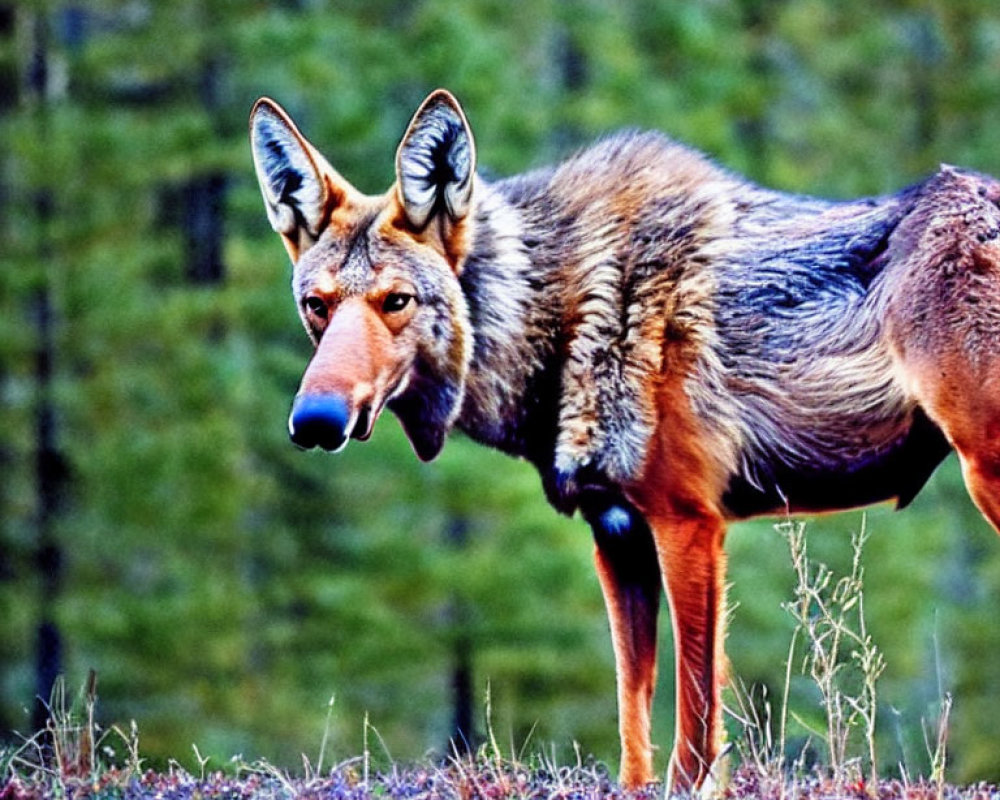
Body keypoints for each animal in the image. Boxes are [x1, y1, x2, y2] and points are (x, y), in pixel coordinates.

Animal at [252, 89, 1000, 792]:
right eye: (317, 306)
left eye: (397, 301)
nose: (314, 420)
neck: (561, 322)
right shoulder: (616, 533)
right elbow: (633, 725)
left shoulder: (688, 523)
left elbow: (695, 737)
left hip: (984, 476)